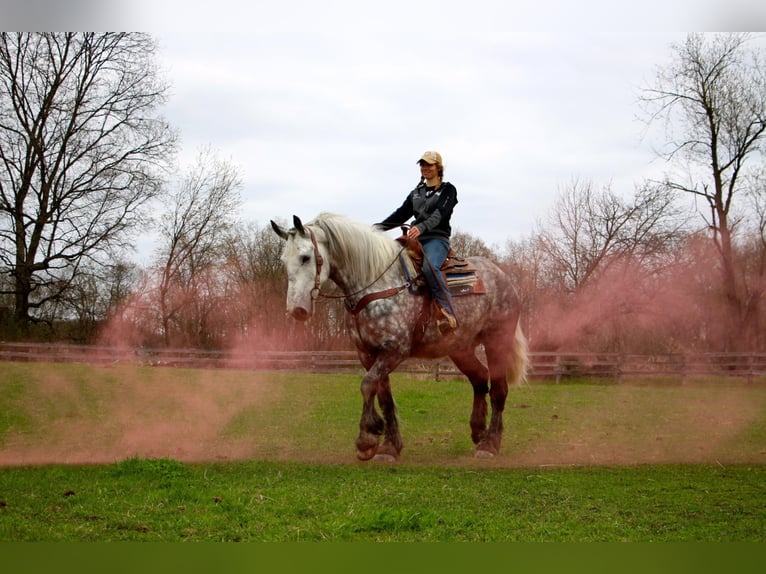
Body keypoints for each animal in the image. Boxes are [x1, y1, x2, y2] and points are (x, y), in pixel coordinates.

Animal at [272, 214, 532, 462]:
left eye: (305, 257)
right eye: (284, 260)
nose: (296, 309)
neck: (378, 286)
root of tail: (503, 276)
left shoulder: (394, 351)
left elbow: (367, 385)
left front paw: (367, 439)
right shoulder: (368, 354)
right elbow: (383, 396)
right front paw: (389, 447)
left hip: (497, 341)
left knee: (498, 389)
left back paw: (490, 444)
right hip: (460, 348)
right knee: (479, 379)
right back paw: (478, 432)